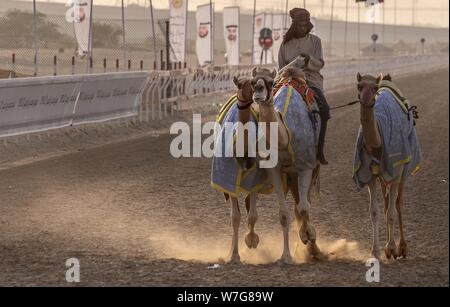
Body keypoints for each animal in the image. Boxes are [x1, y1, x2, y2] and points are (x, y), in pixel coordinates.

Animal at [356, 72, 422, 260]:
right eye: (359, 85)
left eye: (375, 87)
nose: (366, 99)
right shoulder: (369, 174)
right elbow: (375, 211)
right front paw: (376, 251)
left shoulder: (396, 170)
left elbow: (392, 212)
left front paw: (392, 248)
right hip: (383, 175)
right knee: (386, 204)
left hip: (403, 170)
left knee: (398, 203)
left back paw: (402, 247)